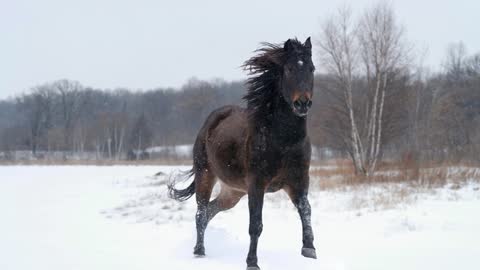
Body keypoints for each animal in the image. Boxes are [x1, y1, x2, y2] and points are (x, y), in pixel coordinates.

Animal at [168, 36, 316, 270]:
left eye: (311, 68)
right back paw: (199, 251)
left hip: (233, 191)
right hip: (206, 175)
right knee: (201, 212)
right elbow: (255, 224)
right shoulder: (257, 184)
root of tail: (210, 121)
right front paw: (252, 263)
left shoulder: (298, 181)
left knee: (210, 210)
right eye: (290, 69)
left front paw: (309, 250)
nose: (302, 103)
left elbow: (306, 211)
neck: (282, 141)